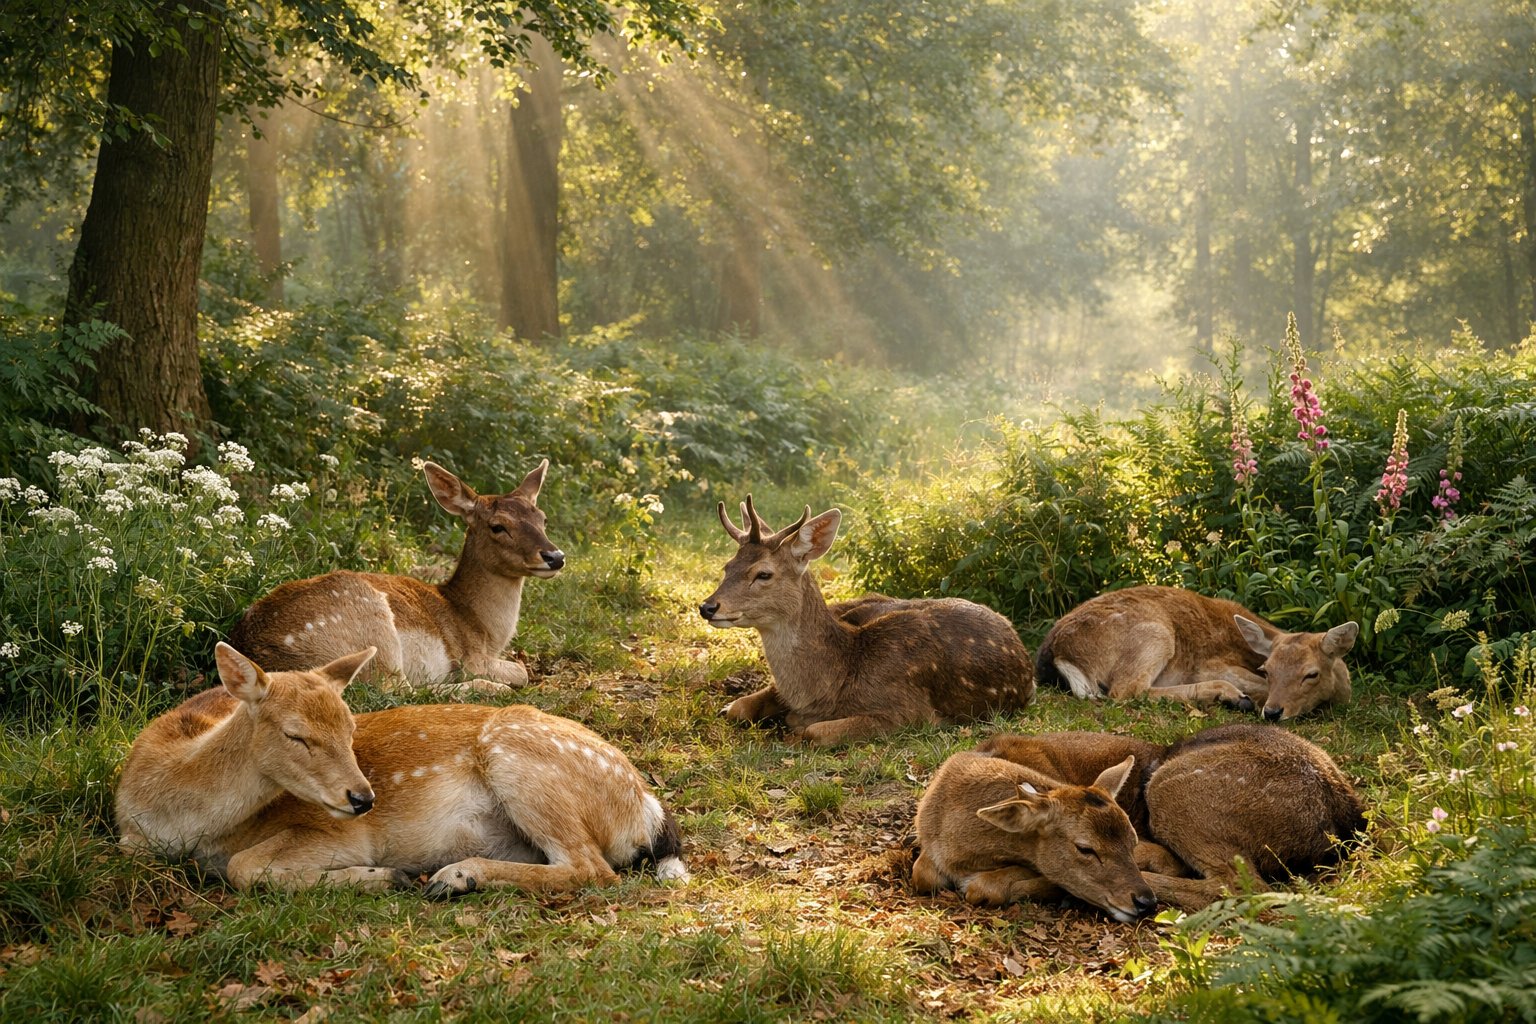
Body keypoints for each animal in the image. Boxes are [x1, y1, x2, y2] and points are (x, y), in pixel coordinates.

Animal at [115, 643, 689, 895]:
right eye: (296, 734)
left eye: (350, 727)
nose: (363, 799)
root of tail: (646, 807)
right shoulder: (128, 838)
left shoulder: (333, 832)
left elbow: (244, 866)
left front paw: (382, 875)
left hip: (520, 761)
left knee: (593, 868)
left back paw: (455, 876)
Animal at [228, 460, 563, 697]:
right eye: (497, 526)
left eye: (543, 518)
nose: (555, 556)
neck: (482, 629)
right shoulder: (472, 658)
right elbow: (521, 670)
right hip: (371, 626)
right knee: (397, 691)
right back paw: (489, 688)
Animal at [698, 496, 1036, 746]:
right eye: (728, 566)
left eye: (764, 574)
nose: (708, 606)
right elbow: (736, 709)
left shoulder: (908, 712)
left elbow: (813, 731)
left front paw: (795, 723)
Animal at [1035, 585, 1358, 720]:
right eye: (1267, 670)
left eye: (1311, 674)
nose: (1273, 712)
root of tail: (1056, 652)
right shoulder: (1209, 664)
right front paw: (1248, 698)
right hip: (1156, 633)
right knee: (1126, 690)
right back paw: (1230, 696)